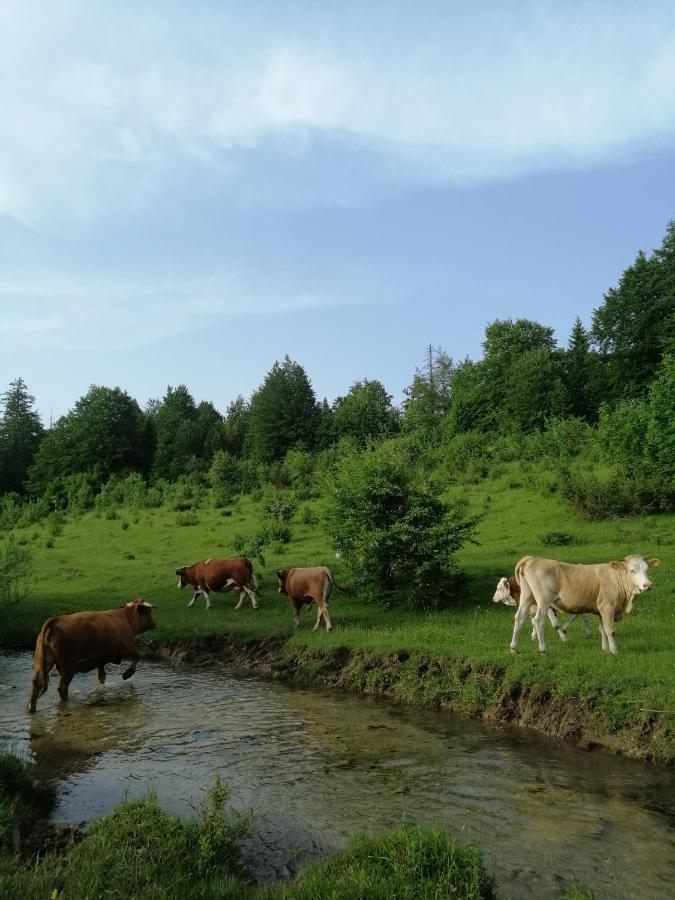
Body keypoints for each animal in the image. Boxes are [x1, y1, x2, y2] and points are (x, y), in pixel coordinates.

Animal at [28, 600, 156, 712]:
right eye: (149, 612)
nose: (154, 624)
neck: (125, 618)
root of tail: (57, 620)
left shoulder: (100, 660)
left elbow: (101, 677)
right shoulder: (128, 647)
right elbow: (137, 656)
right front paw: (127, 674)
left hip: (43, 662)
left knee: (36, 684)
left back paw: (31, 708)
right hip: (68, 666)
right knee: (62, 688)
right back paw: (66, 704)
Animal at [512, 556, 660, 652]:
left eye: (647, 570)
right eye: (632, 571)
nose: (648, 585)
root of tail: (532, 559)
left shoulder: (600, 609)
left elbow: (602, 629)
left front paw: (605, 649)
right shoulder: (608, 606)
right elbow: (610, 630)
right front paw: (614, 651)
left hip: (527, 597)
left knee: (519, 618)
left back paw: (513, 648)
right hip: (543, 600)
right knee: (538, 620)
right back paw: (542, 649)